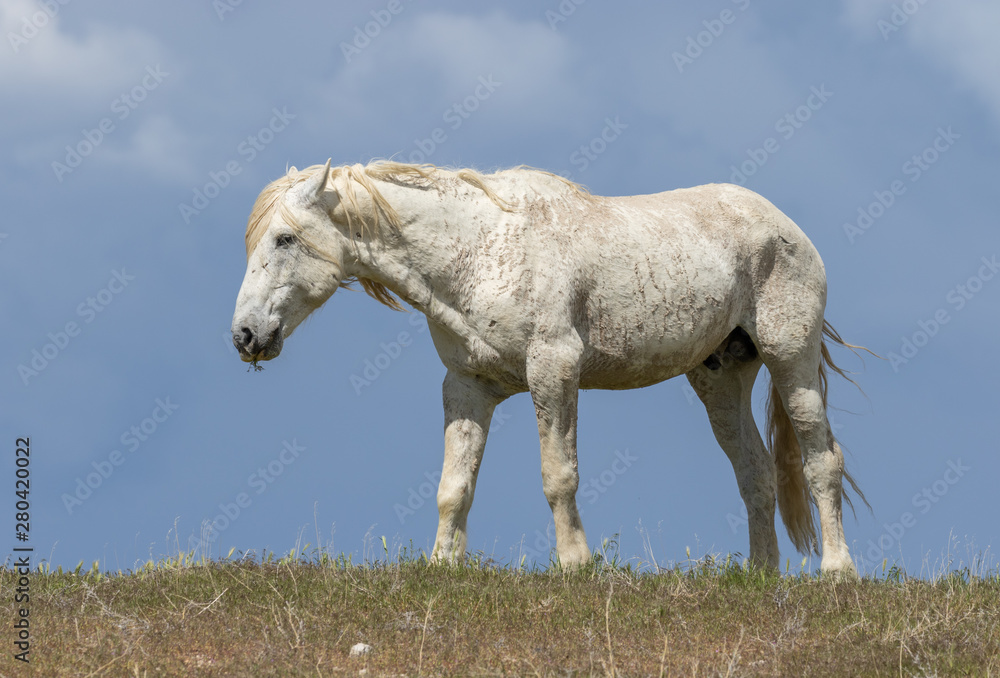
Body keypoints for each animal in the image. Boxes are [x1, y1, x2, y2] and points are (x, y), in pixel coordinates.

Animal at [231, 159, 868, 576]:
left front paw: (574, 564)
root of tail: (785, 227)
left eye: (285, 239)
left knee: (821, 460)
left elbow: (558, 475)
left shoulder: (554, 371)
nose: (245, 336)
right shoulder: (466, 388)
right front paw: (442, 567)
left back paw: (838, 570)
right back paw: (759, 577)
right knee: (755, 473)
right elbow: (454, 486)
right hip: (720, 378)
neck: (477, 252)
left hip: (790, 360)